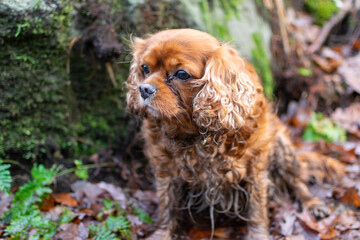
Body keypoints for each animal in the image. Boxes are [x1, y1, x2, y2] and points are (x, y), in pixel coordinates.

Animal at [125, 29, 344, 239]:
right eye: (145, 68)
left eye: (181, 74)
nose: (143, 89)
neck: (195, 135)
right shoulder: (165, 168)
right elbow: (166, 205)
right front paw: (162, 233)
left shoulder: (256, 167)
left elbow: (257, 210)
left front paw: (258, 236)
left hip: (282, 149)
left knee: (297, 181)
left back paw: (313, 204)